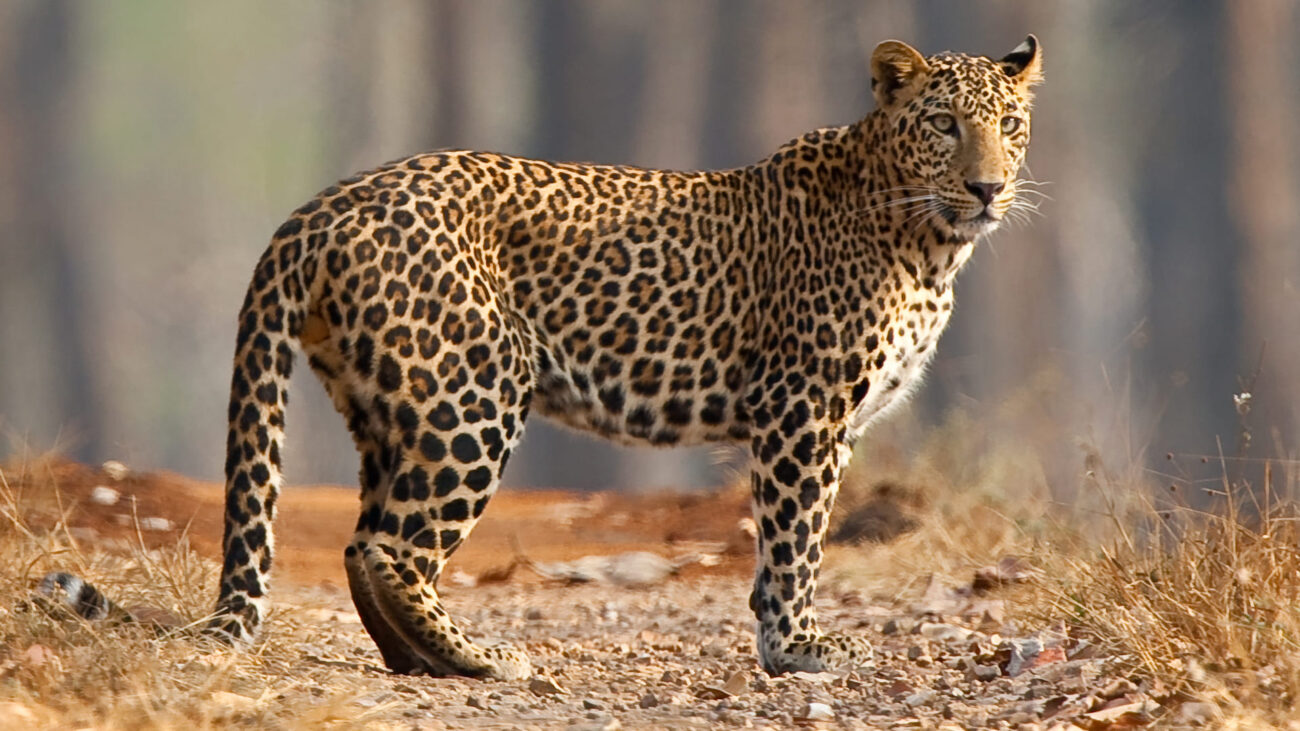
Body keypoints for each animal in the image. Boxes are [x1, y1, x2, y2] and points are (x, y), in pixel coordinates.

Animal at [39, 36, 1041, 681]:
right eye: (945, 124)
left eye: (1010, 124)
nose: (988, 187)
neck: (928, 242)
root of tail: (320, 208)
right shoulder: (805, 412)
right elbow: (796, 541)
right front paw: (799, 648)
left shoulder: (820, 421)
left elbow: (781, 547)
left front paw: (778, 644)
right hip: (472, 395)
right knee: (391, 547)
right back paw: (485, 659)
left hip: (387, 405)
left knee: (368, 544)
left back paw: (424, 661)